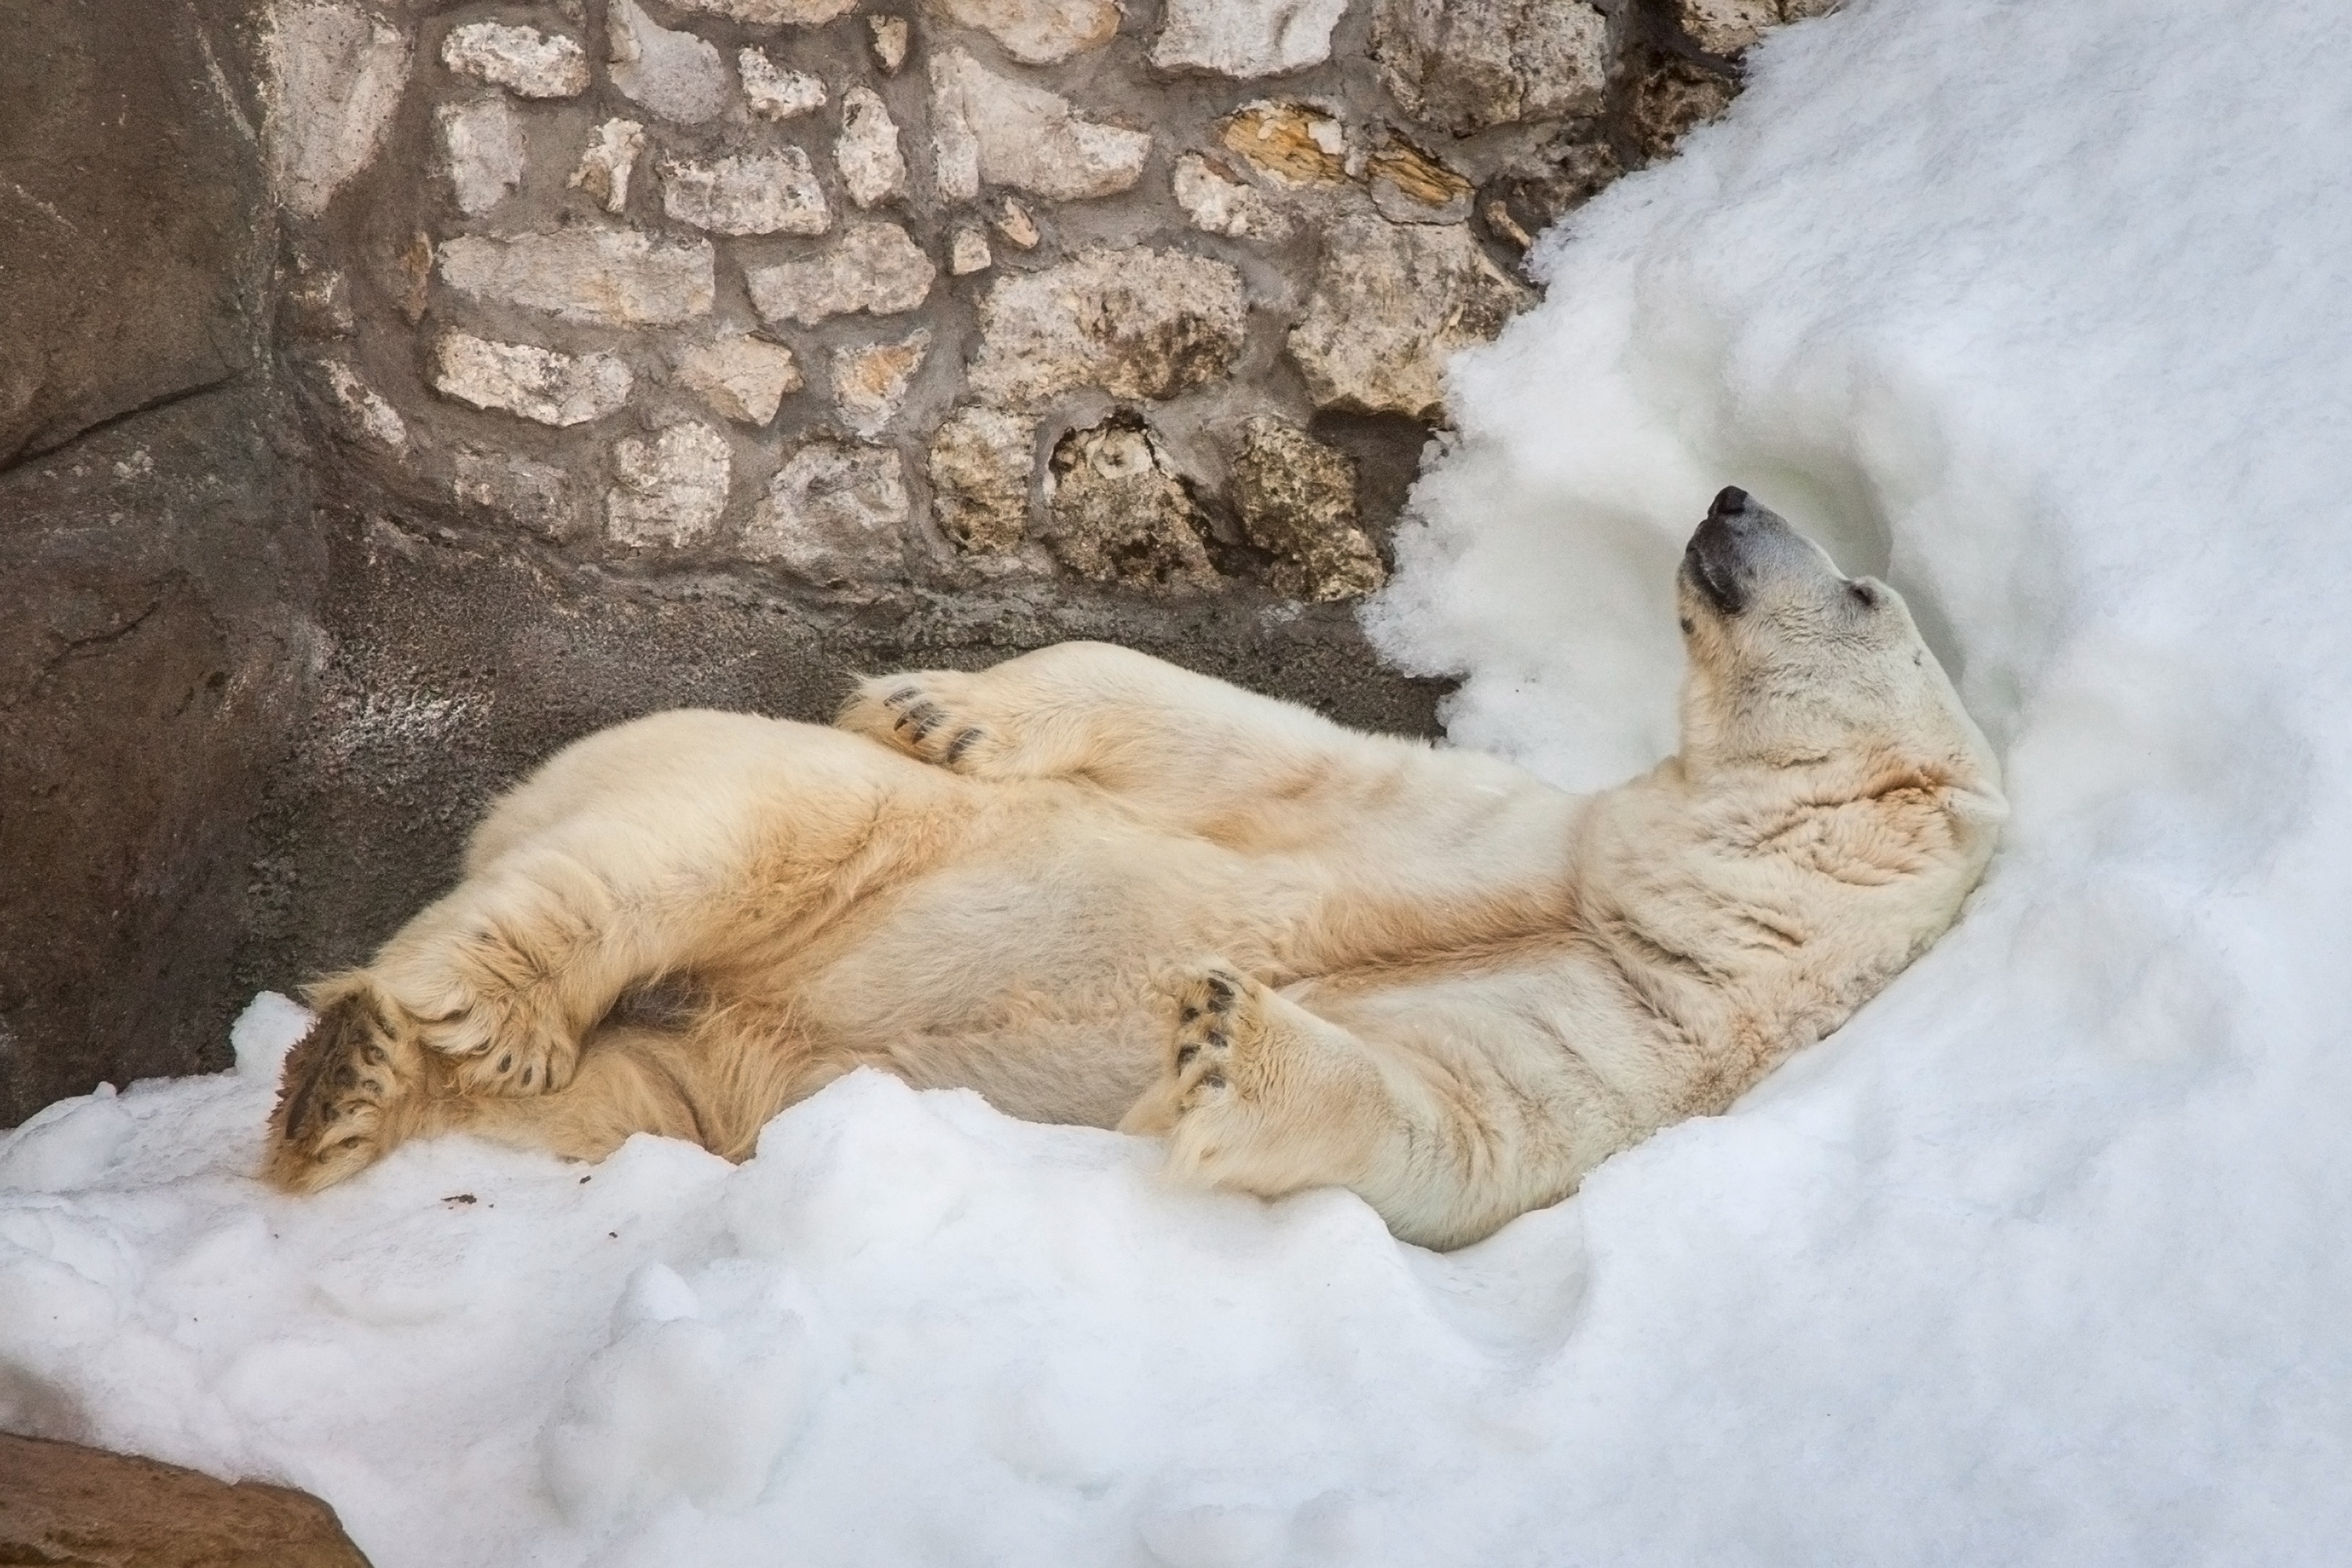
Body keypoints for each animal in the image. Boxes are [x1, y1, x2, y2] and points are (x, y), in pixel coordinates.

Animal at [270, 491, 2004, 1250]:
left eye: (1861, 588)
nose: (1727, 495)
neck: (1673, 912)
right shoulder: (1527, 833)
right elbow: (1249, 745)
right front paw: (945, 703)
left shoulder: (1635, 1061)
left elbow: (1443, 1137)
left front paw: (1228, 1042)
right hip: (785, 826)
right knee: (717, 835)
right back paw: (455, 1013)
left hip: (734, 1082)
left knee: (626, 1097)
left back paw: (362, 1085)